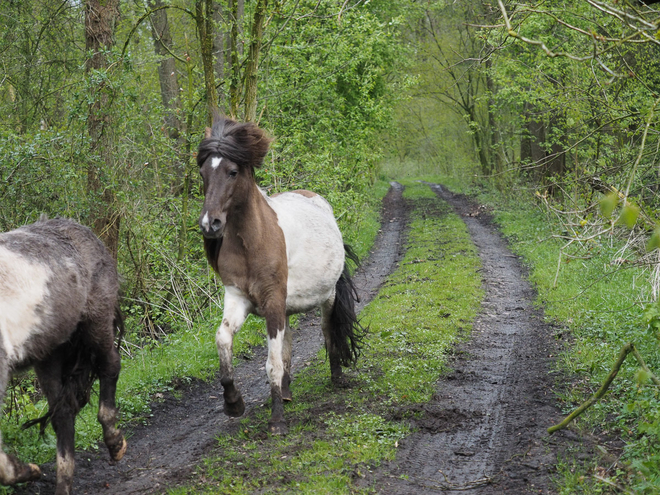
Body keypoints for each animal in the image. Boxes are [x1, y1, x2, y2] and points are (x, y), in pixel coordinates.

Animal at [0, 220, 126, 495]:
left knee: (110, 365)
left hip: (96, 322)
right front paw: (29, 471)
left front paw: (29, 471)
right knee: (63, 414)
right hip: (48, 355)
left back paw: (114, 443)